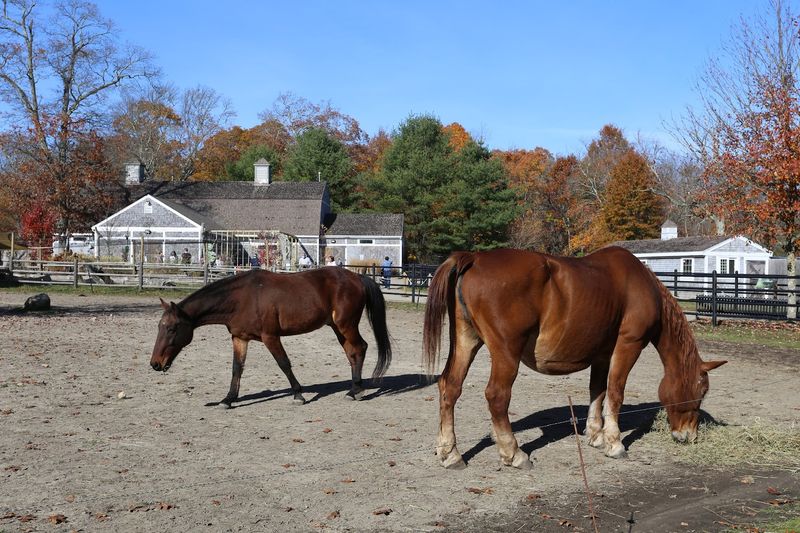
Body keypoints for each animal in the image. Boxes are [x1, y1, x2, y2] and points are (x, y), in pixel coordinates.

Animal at [150, 267, 392, 406]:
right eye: (159, 327)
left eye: (172, 329)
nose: (155, 363)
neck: (241, 299)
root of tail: (357, 277)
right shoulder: (239, 338)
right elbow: (237, 368)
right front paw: (228, 399)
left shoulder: (270, 337)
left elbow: (283, 364)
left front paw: (298, 395)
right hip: (337, 327)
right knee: (352, 353)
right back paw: (354, 388)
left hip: (346, 325)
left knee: (360, 348)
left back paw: (356, 391)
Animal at [423, 246, 726, 470]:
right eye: (700, 393)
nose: (688, 436)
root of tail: (474, 258)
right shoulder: (629, 345)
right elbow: (615, 393)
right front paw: (614, 443)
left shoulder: (603, 353)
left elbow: (598, 392)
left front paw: (595, 435)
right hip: (506, 352)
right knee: (497, 396)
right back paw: (513, 452)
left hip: (467, 341)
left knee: (450, 387)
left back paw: (450, 453)